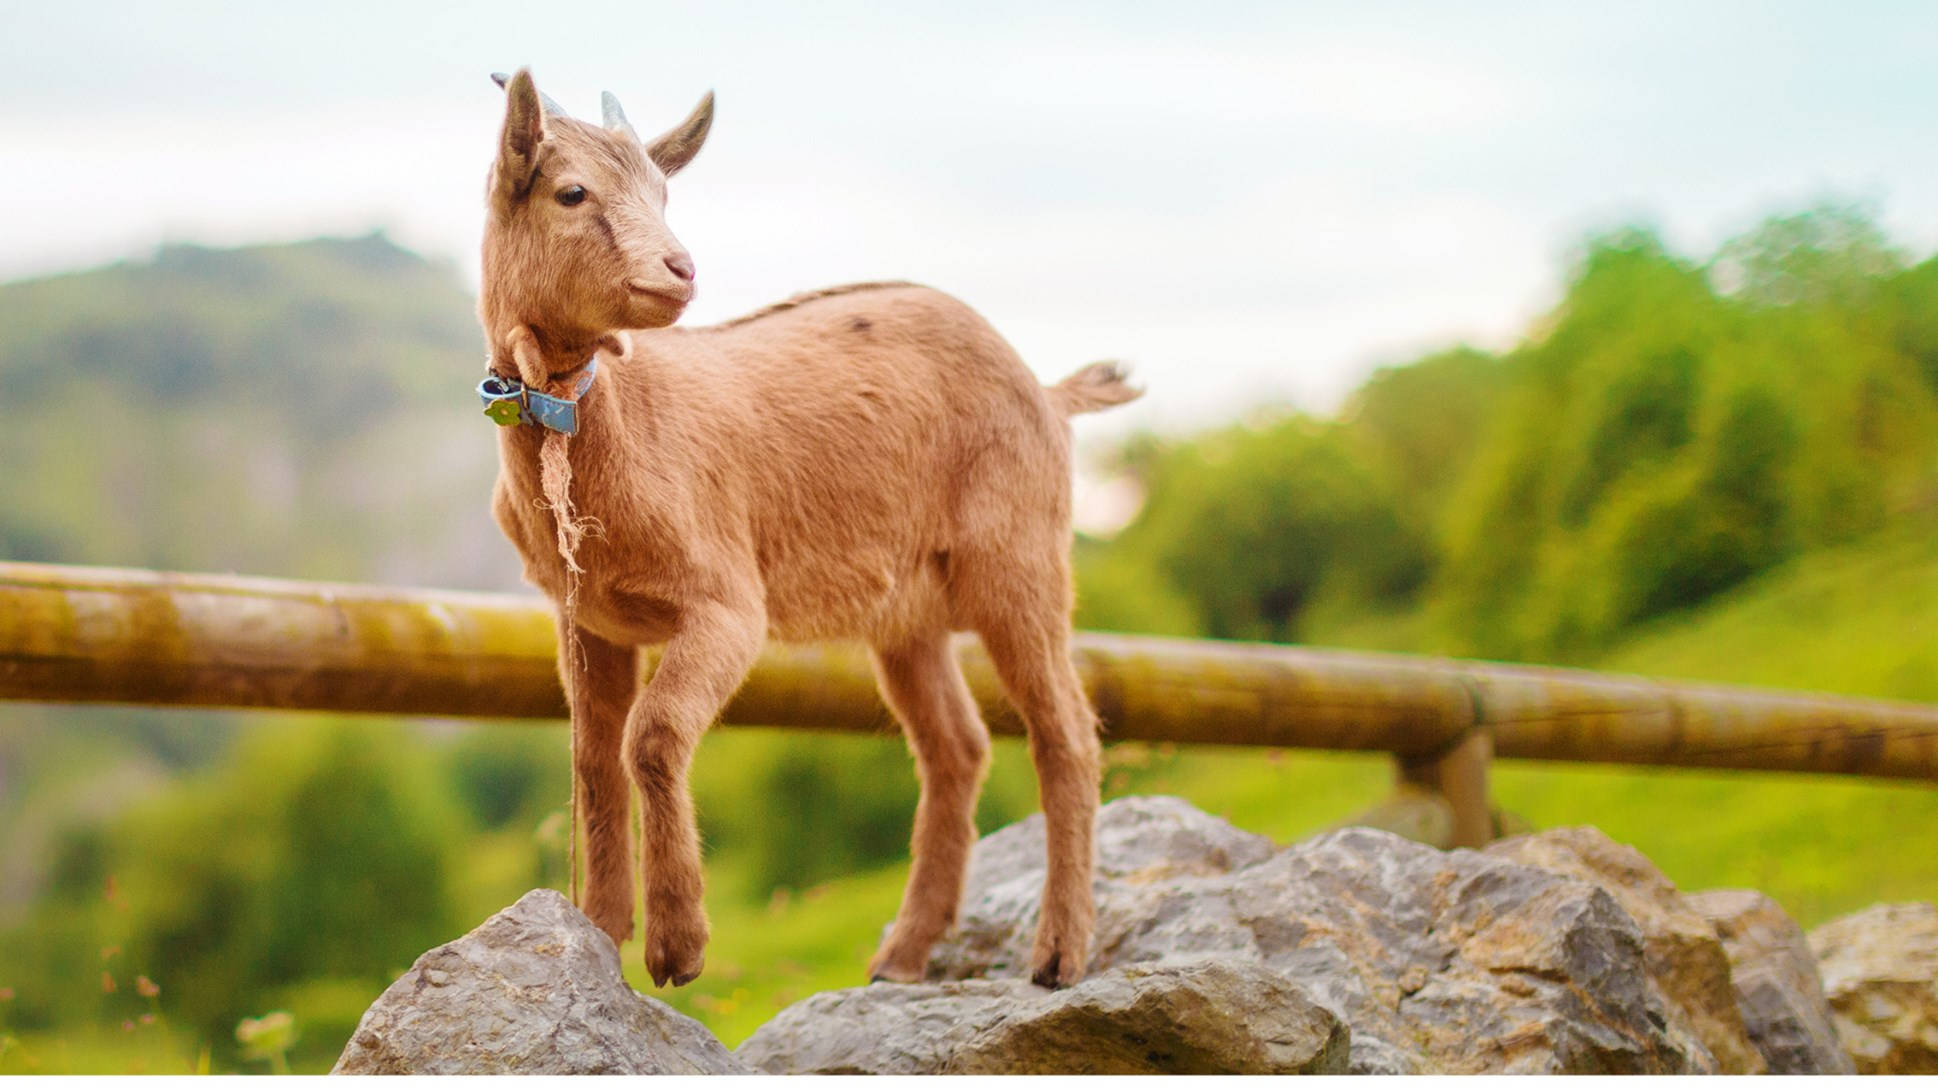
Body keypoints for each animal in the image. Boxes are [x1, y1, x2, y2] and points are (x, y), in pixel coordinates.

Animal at [477, 68, 1140, 990]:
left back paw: (1056, 956)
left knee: (1066, 733)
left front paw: (677, 948)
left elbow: (653, 734)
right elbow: (592, 757)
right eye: (571, 192)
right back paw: (901, 955)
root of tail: (1048, 391)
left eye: (665, 191)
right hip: (910, 613)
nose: (680, 270)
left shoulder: (727, 602)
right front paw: (601, 931)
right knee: (957, 745)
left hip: (1020, 557)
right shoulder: (589, 620)